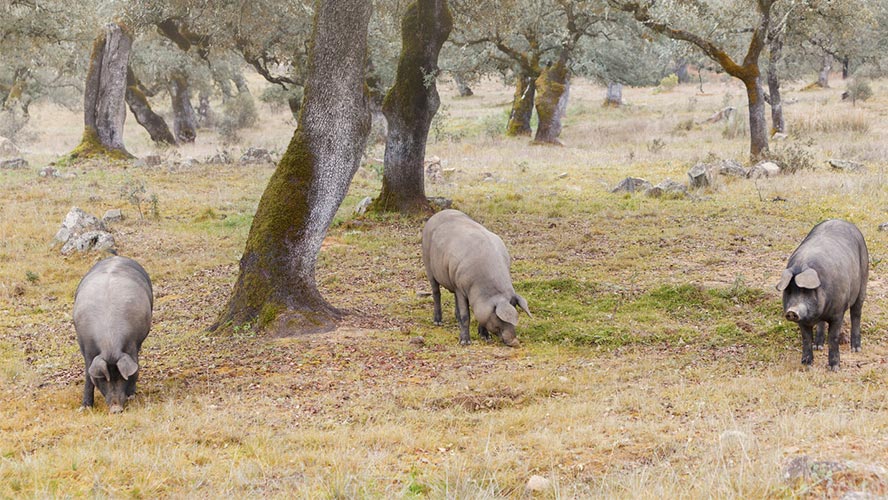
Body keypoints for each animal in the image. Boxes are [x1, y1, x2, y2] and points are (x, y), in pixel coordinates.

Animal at [74, 256, 153, 412]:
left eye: (122, 377)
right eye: (104, 379)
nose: (116, 409)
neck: (109, 343)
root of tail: (116, 257)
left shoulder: (131, 345)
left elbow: (135, 368)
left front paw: (131, 396)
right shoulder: (87, 349)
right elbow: (88, 376)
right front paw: (85, 408)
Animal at [422, 209, 532, 346]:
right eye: (499, 317)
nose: (515, 342)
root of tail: (437, 214)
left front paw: (485, 337)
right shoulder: (460, 288)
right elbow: (466, 315)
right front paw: (465, 342)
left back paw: (456, 319)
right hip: (428, 265)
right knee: (436, 292)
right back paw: (438, 322)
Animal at [776, 220, 868, 372]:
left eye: (805, 291)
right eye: (788, 291)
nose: (792, 311)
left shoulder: (838, 313)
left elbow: (833, 338)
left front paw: (834, 368)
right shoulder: (803, 320)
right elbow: (806, 338)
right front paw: (806, 363)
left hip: (864, 280)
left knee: (856, 313)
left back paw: (856, 349)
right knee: (821, 323)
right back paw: (818, 346)